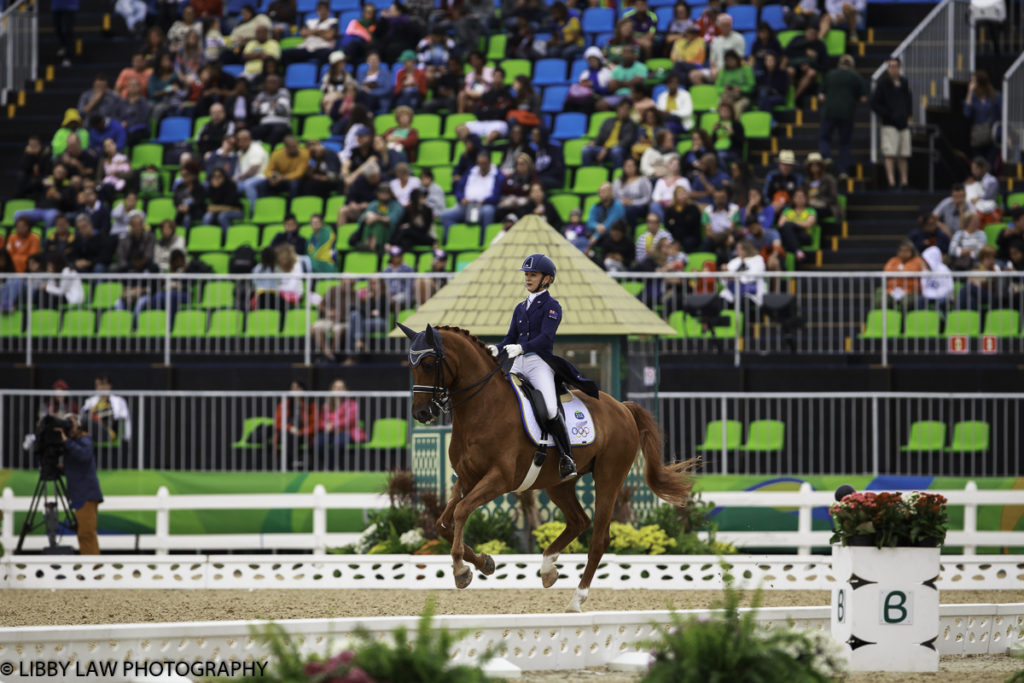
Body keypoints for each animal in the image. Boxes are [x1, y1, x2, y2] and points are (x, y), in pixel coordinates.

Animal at [397, 323, 696, 610]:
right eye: (410, 366)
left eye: (428, 364)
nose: (421, 413)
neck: (483, 408)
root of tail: (622, 407)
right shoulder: (467, 478)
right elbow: (443, 523)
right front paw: (485, 563)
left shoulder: (499, 479)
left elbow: (460, 511)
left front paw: (461, 570)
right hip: (558, 483)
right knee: (579, 520)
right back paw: (548, 568)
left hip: (609, 477)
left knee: (599, 537)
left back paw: (576, 600)